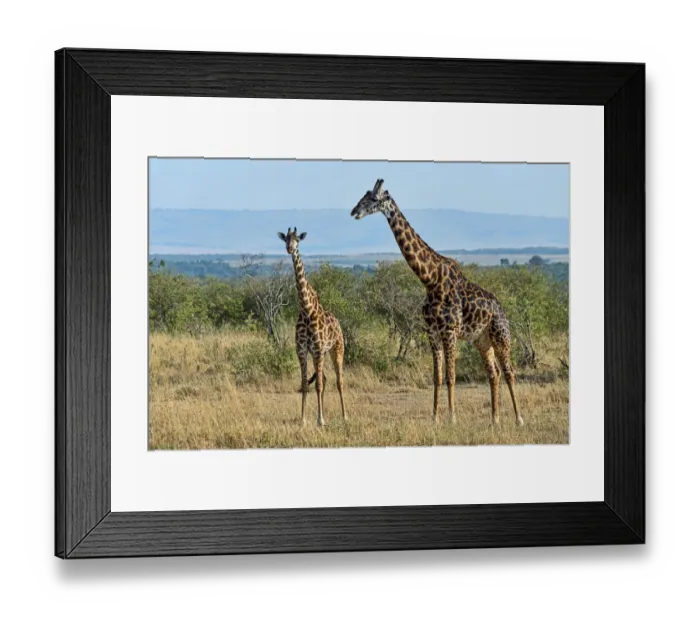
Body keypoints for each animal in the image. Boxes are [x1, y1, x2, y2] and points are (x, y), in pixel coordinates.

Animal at [278, 227, 347, 427]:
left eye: (298, 240)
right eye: (285, 239)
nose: (289, 248)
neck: (306, 309)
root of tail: (338, 323)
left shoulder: (317, 349)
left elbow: (317, 385)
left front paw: (320, 420)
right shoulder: (302, 350)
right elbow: (305, 384)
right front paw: (303, 419)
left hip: (336, 349)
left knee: (339, 381)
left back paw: (345, 416)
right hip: (322, 353)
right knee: (323, 378)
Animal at [351, 180, 523, 427]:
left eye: (373, 199)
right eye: (363, 196)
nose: (354, 211)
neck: (430, 279)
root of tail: (501, 309)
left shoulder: (449, 331)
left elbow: (451, 377)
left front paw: (452, 418)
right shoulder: (431, 332)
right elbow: (437, 377)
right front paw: (435, 418)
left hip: (501, 335)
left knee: (509, 372)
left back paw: (518, 419)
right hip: (482, 341)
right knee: (494, 373)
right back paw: (495, 419)